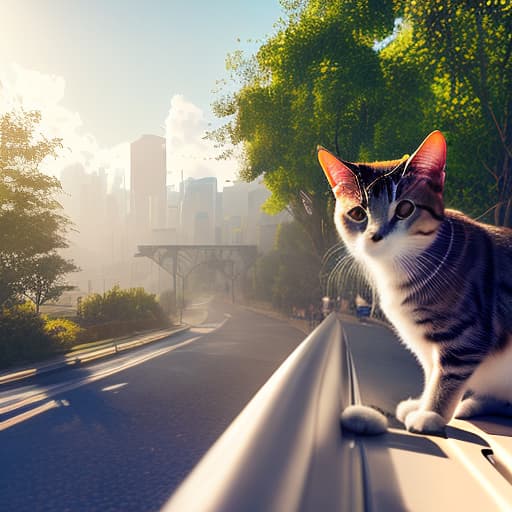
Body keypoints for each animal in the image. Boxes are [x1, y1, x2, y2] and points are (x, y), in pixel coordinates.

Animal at [318, 132, 512, 436]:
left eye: (405, 209)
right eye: (358, 214)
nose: (375, 235)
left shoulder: (466, 337)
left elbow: (446, 378)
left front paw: (431, 414)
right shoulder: (424, 343)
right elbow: (431, 371)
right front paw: (421, 404)